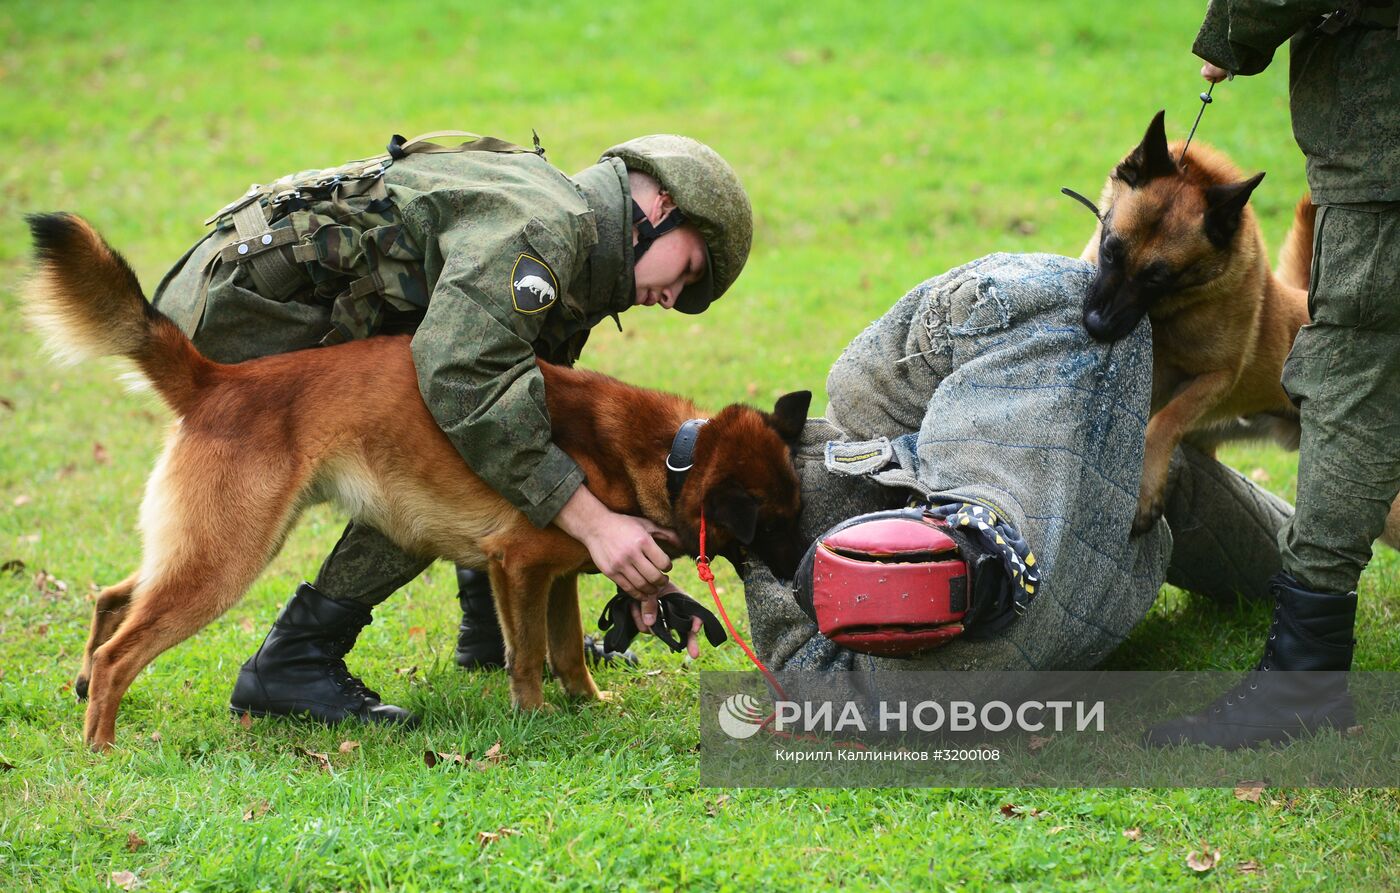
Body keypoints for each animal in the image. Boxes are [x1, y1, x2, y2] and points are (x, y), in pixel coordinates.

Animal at [24, 212, 812, 750]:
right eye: (774, 524)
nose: (801, 574)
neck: (671, 455)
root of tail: (217, 380)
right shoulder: (521, 567)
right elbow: (530, 653)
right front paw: (534, 720)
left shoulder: (558, 575)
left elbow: (565, 650)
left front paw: (588, 705)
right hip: (229, 557)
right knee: (122, 647)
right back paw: (102, 743)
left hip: (210, 543)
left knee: (114, 596)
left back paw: (85, 688)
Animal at [1069, 109, 1310, 534]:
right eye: (1111, 250)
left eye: (1157, 278)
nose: (1097, 326)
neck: (1170, 311)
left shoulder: (1217, 378)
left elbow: (1165, 421)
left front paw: (1145, 493)